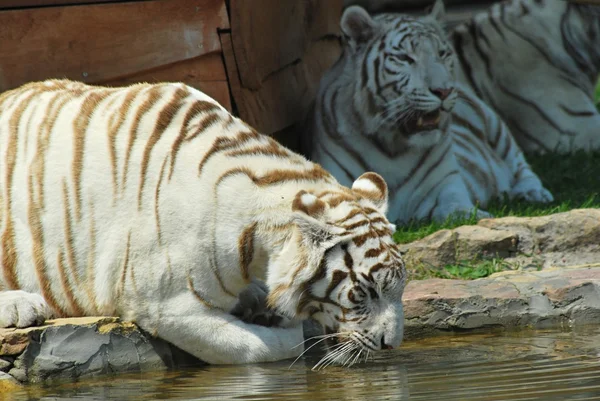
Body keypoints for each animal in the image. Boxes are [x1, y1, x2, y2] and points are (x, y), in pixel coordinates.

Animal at [0, 78, 408, 366]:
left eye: (399, 289)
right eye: (365, 293)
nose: (392, 345)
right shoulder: (164, 303)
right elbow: (257, 347)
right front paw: (283, 331)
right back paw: (23, 306)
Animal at [304, 0, 552, 223]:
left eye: (442, 53)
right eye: (405, 58)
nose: (444, 90)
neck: (393, 147)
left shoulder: (446, 185)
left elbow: (455, 206)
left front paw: (478, 216)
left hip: (495, 127)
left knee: (519, 163)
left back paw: (533, 193)